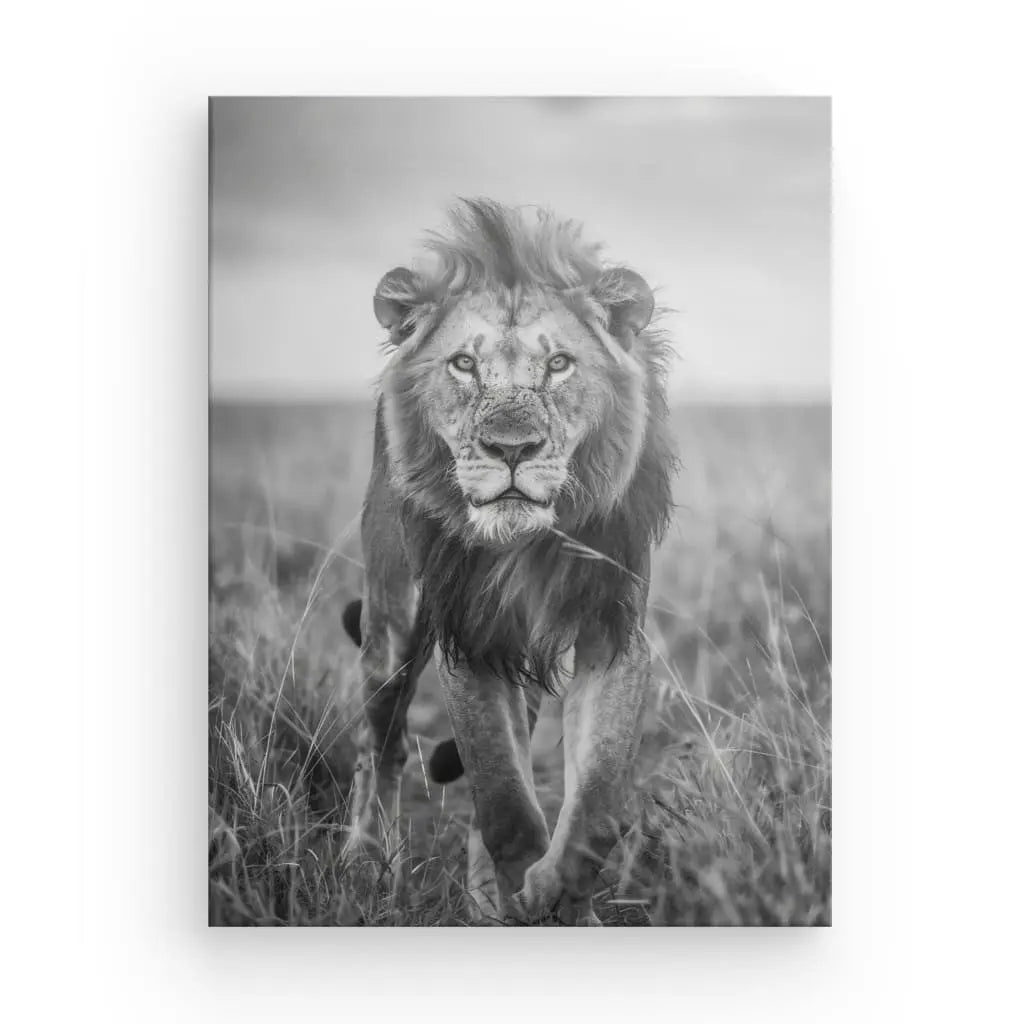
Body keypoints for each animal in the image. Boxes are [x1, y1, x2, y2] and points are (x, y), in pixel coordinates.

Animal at [340, 199, 676, 925]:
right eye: (464, 364)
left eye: (560, 365)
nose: (512, 449)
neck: (530, 541)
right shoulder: (469, 638)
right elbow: (503, 799)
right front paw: (527, 885)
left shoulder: (612, 630)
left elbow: (595, 799)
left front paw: (555, 894)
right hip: (391, 626)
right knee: (381, 747)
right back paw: (364, 868)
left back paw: (482, 902)